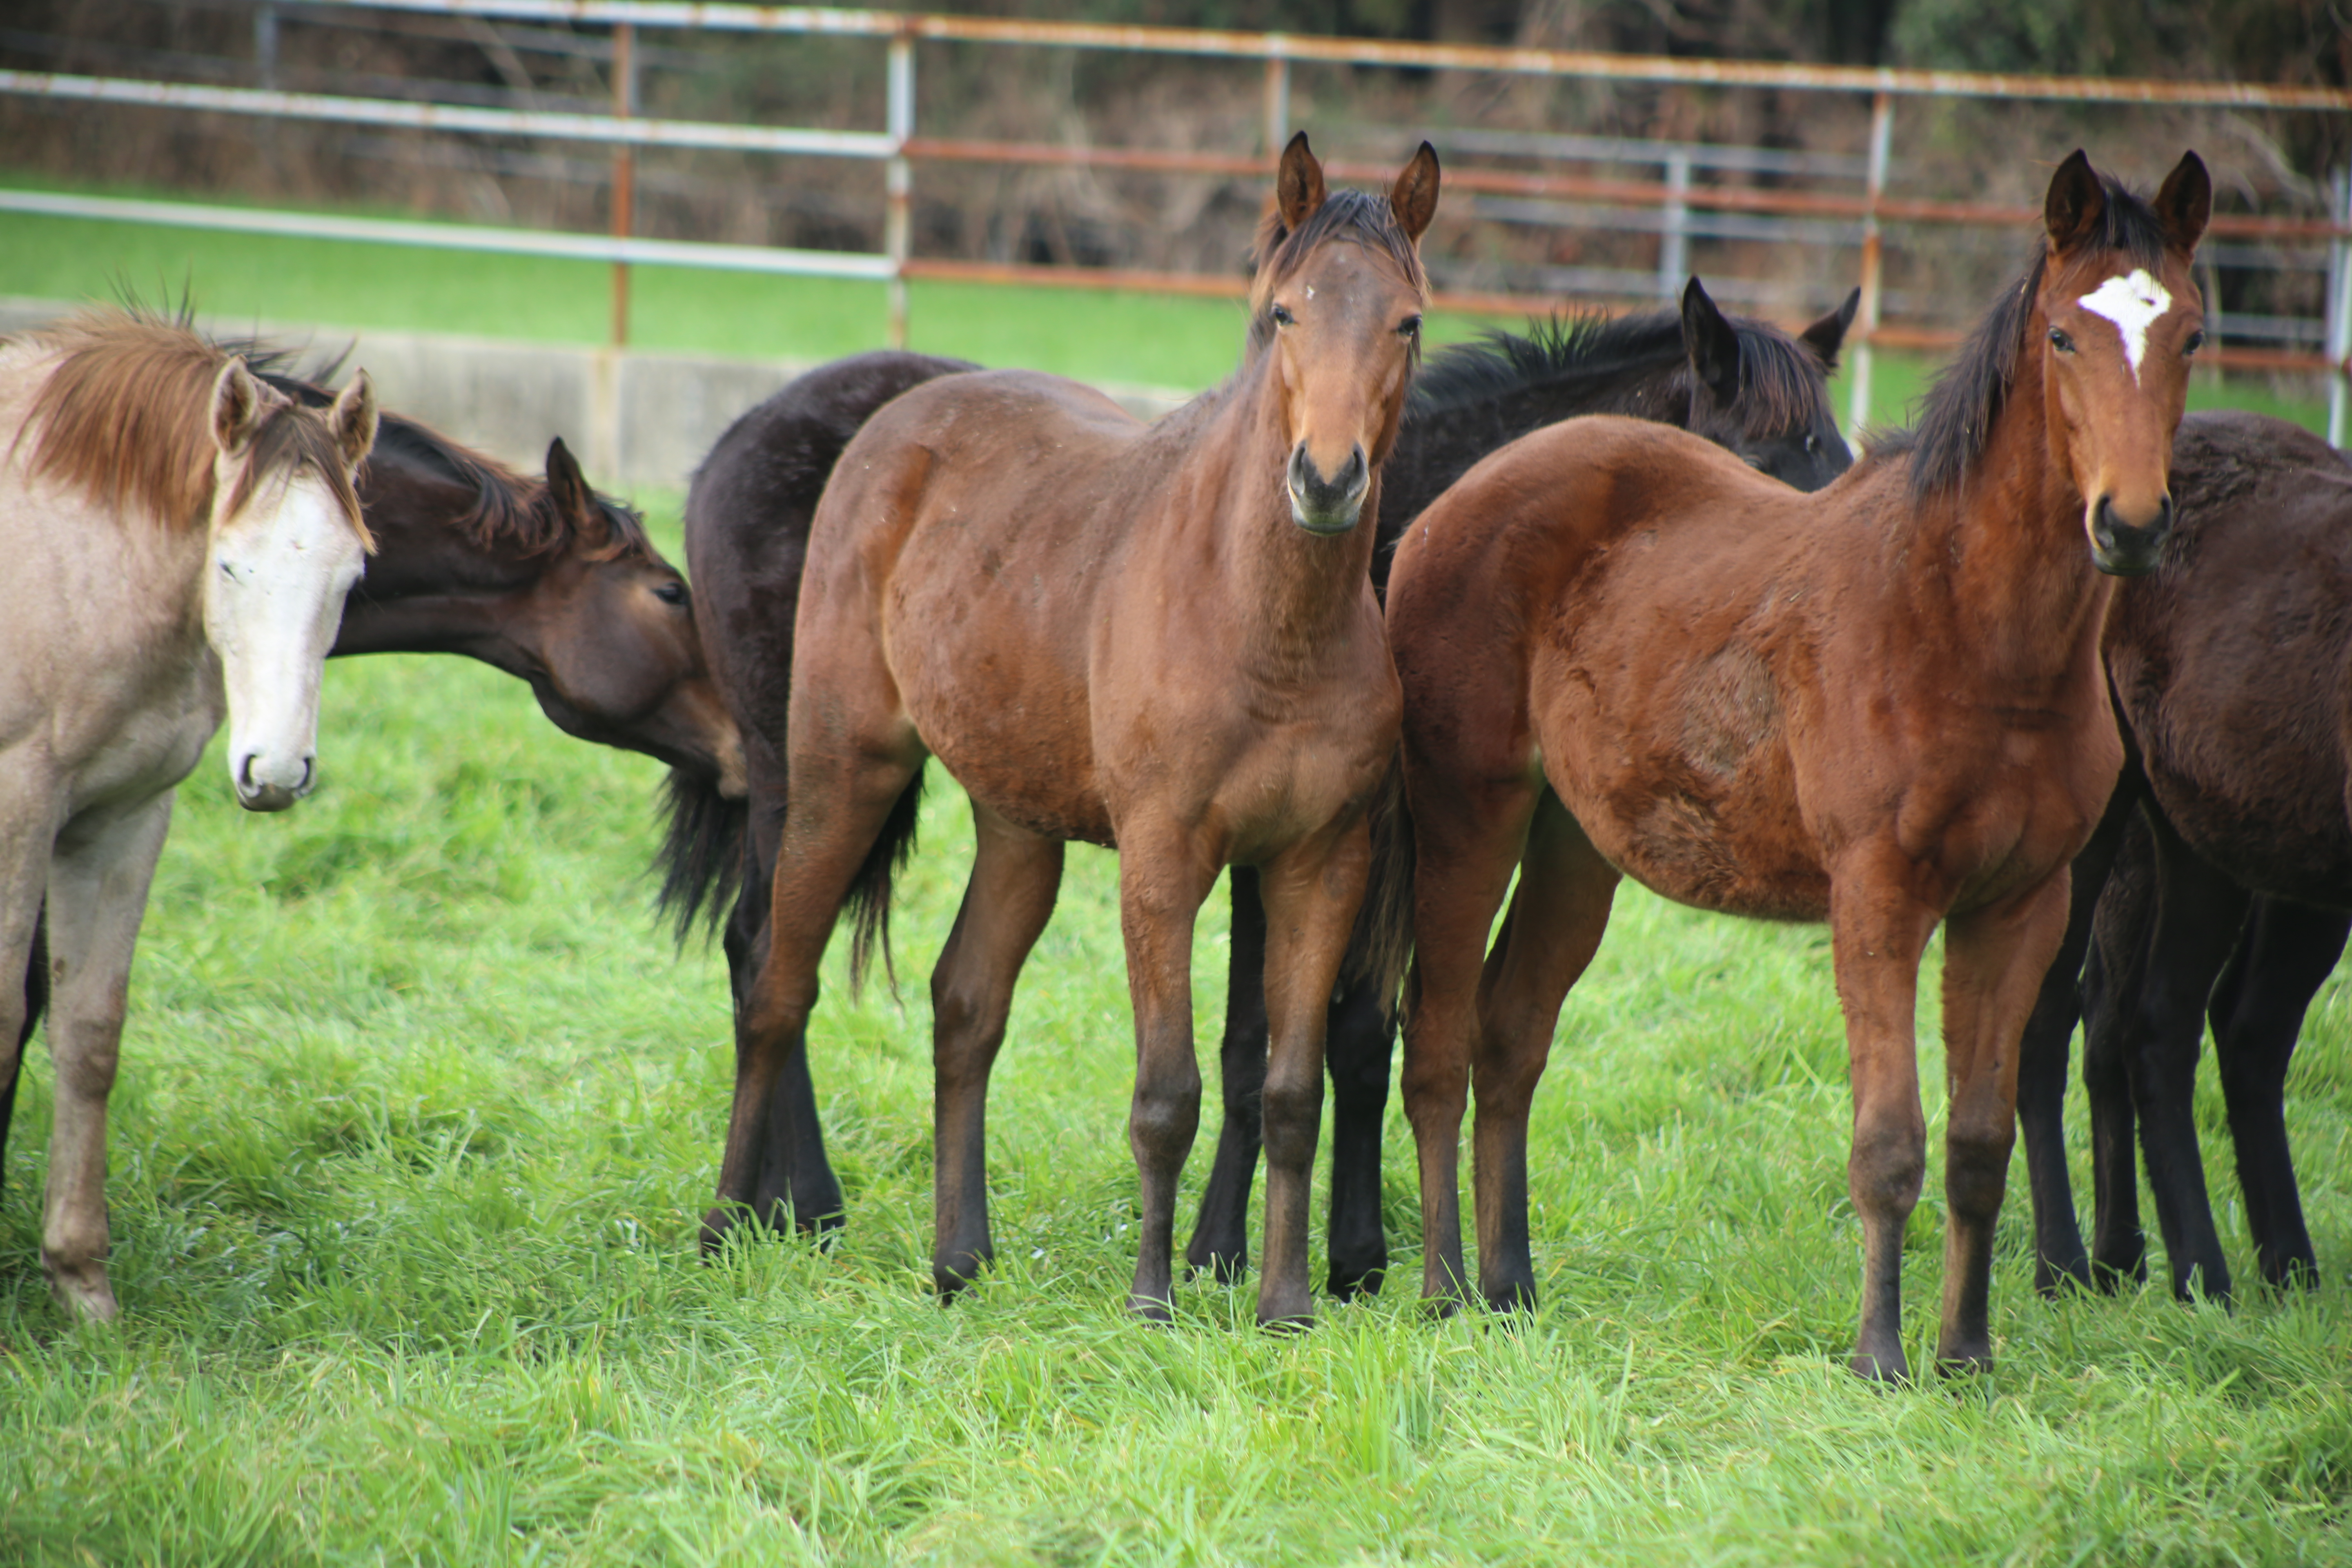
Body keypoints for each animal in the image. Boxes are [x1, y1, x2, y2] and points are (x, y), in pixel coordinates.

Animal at [0, 310, 374, 1326]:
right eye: (230, 564)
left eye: (353, 577)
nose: (277, 772)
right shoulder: (19, 809)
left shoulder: (122, 820)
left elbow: (90, 1032)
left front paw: (81, 1282)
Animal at [706, 141, 1430, 1335]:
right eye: (1282, 312)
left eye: (1407, 322)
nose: (1326, 480)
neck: (1263, 623)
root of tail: (898, 424)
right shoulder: (1163, 862)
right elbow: (1167, 1093)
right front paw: (1150, 1303)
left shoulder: (1321, 863)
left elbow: (1290, 1091)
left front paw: (1285, 1306)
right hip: (840, 771)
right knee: (777, 984)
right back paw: (724, 1225)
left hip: (1017, 824)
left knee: (965, 1003)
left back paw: (957, 1259)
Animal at [1373, 147, 2201, 1373]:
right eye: (2062, 335)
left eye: (2189, 332)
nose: (2131, 523)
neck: (1966, 626)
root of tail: (1450, 504)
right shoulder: (1877, 899)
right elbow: (1889, 1142)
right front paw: (1878, 1358)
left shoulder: (2020, 907)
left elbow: (1977, 1143)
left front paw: (1965, 1355)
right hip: (1466, 821)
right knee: (1432, 1041)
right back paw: (1439, 1291)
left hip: (1574, 847)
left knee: (1506, 1035)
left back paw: (1508, 1289)